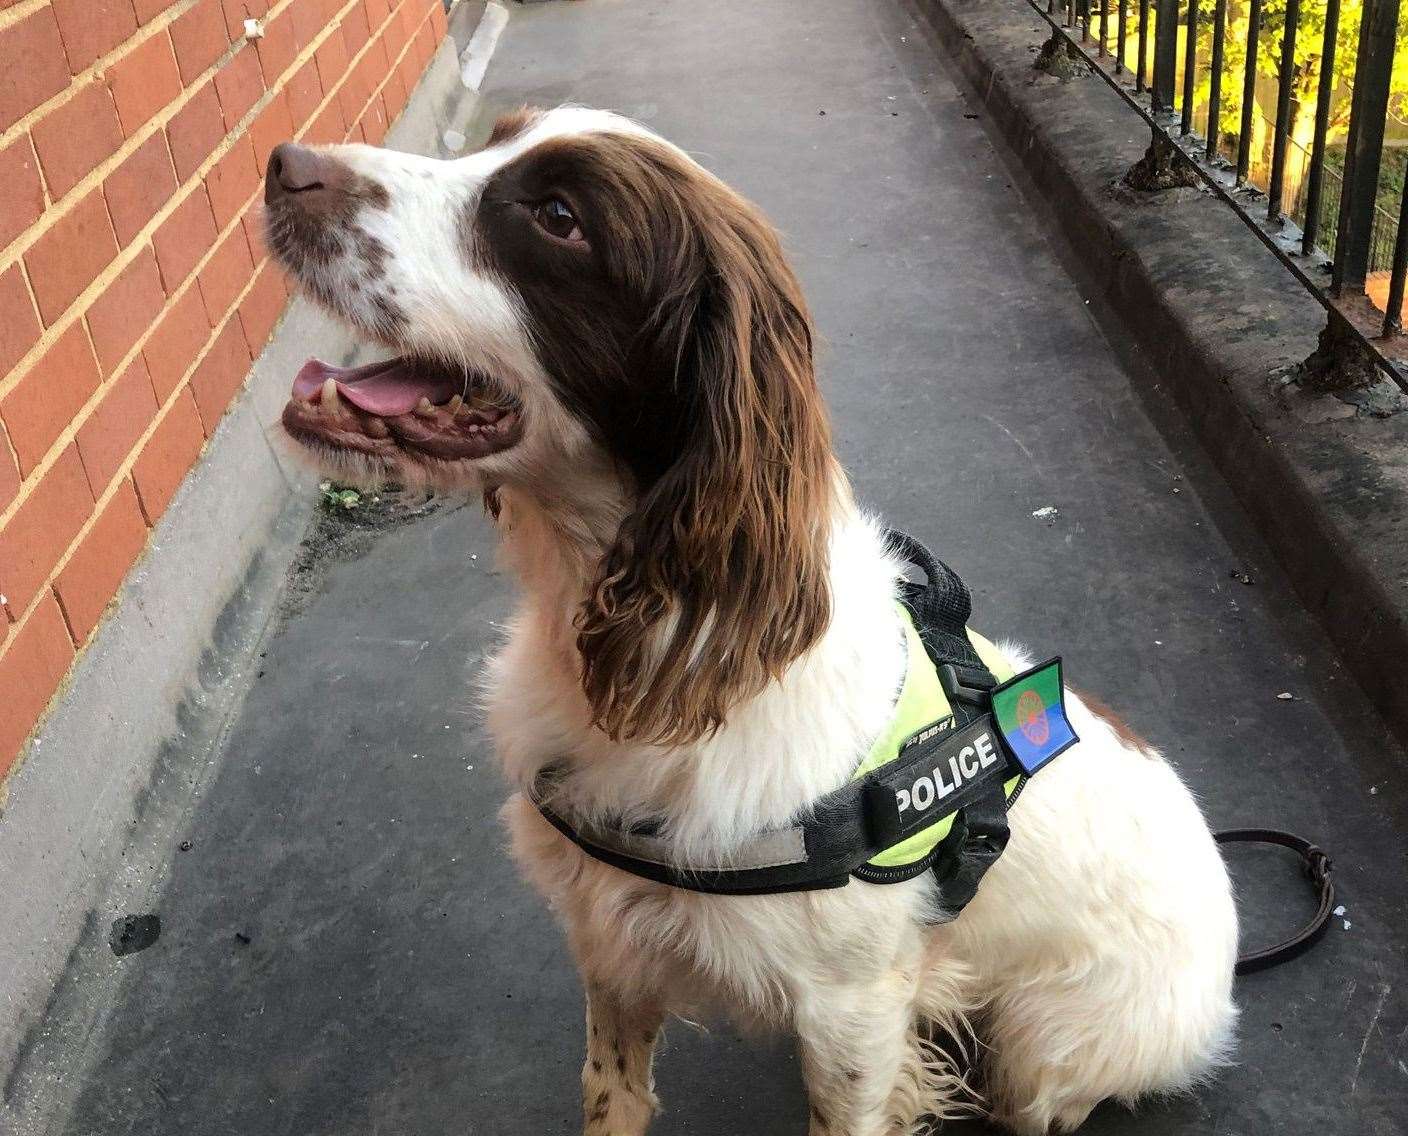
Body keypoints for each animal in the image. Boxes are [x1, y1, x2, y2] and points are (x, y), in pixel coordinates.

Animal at [264, 106, 1233, 1136]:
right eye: (492, 141)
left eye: (560, 217)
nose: (283, 167)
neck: (656, 650)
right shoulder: (611, 941)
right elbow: (612, 1090)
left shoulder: (853, 1009)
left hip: (1047, 1047)